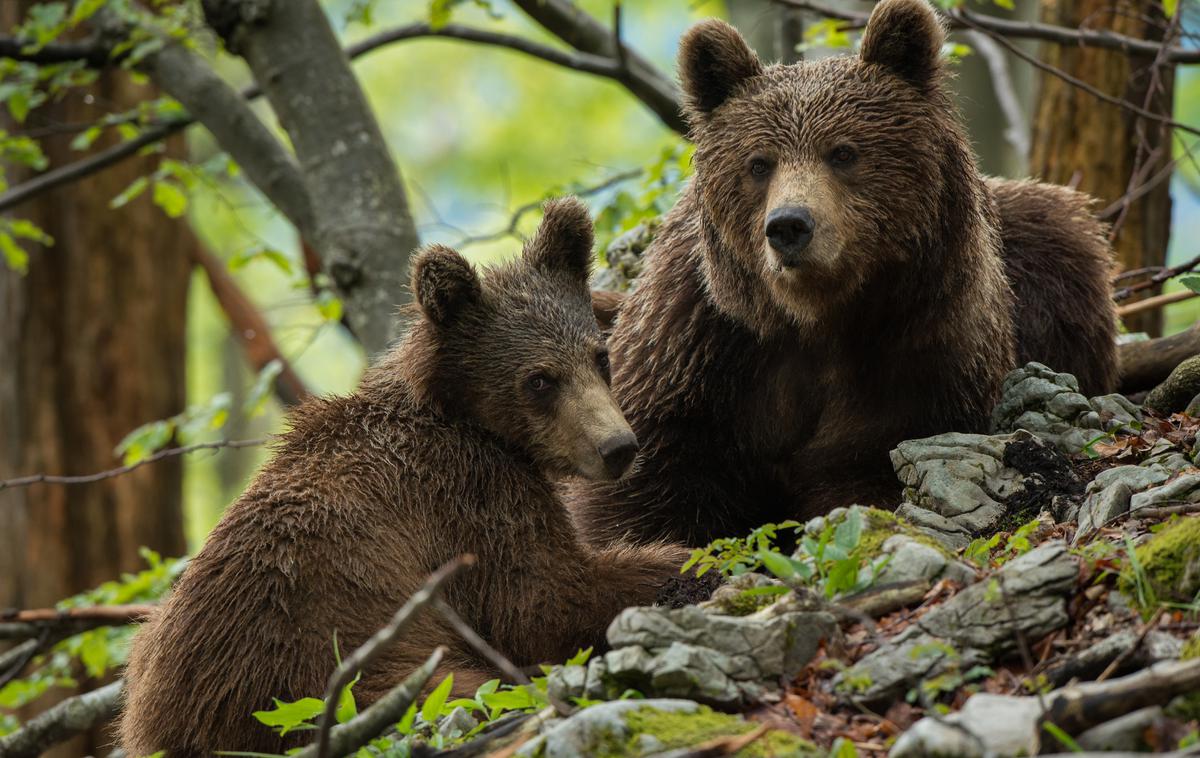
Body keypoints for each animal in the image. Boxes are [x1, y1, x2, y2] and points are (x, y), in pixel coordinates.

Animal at [571, 0, 1113, 546]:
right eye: (759, 163)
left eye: (844, 152)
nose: (789, 225)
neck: (817, 318)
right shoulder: (696, 348)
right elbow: (650, 485)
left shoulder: (921, 350)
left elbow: (867, 461)